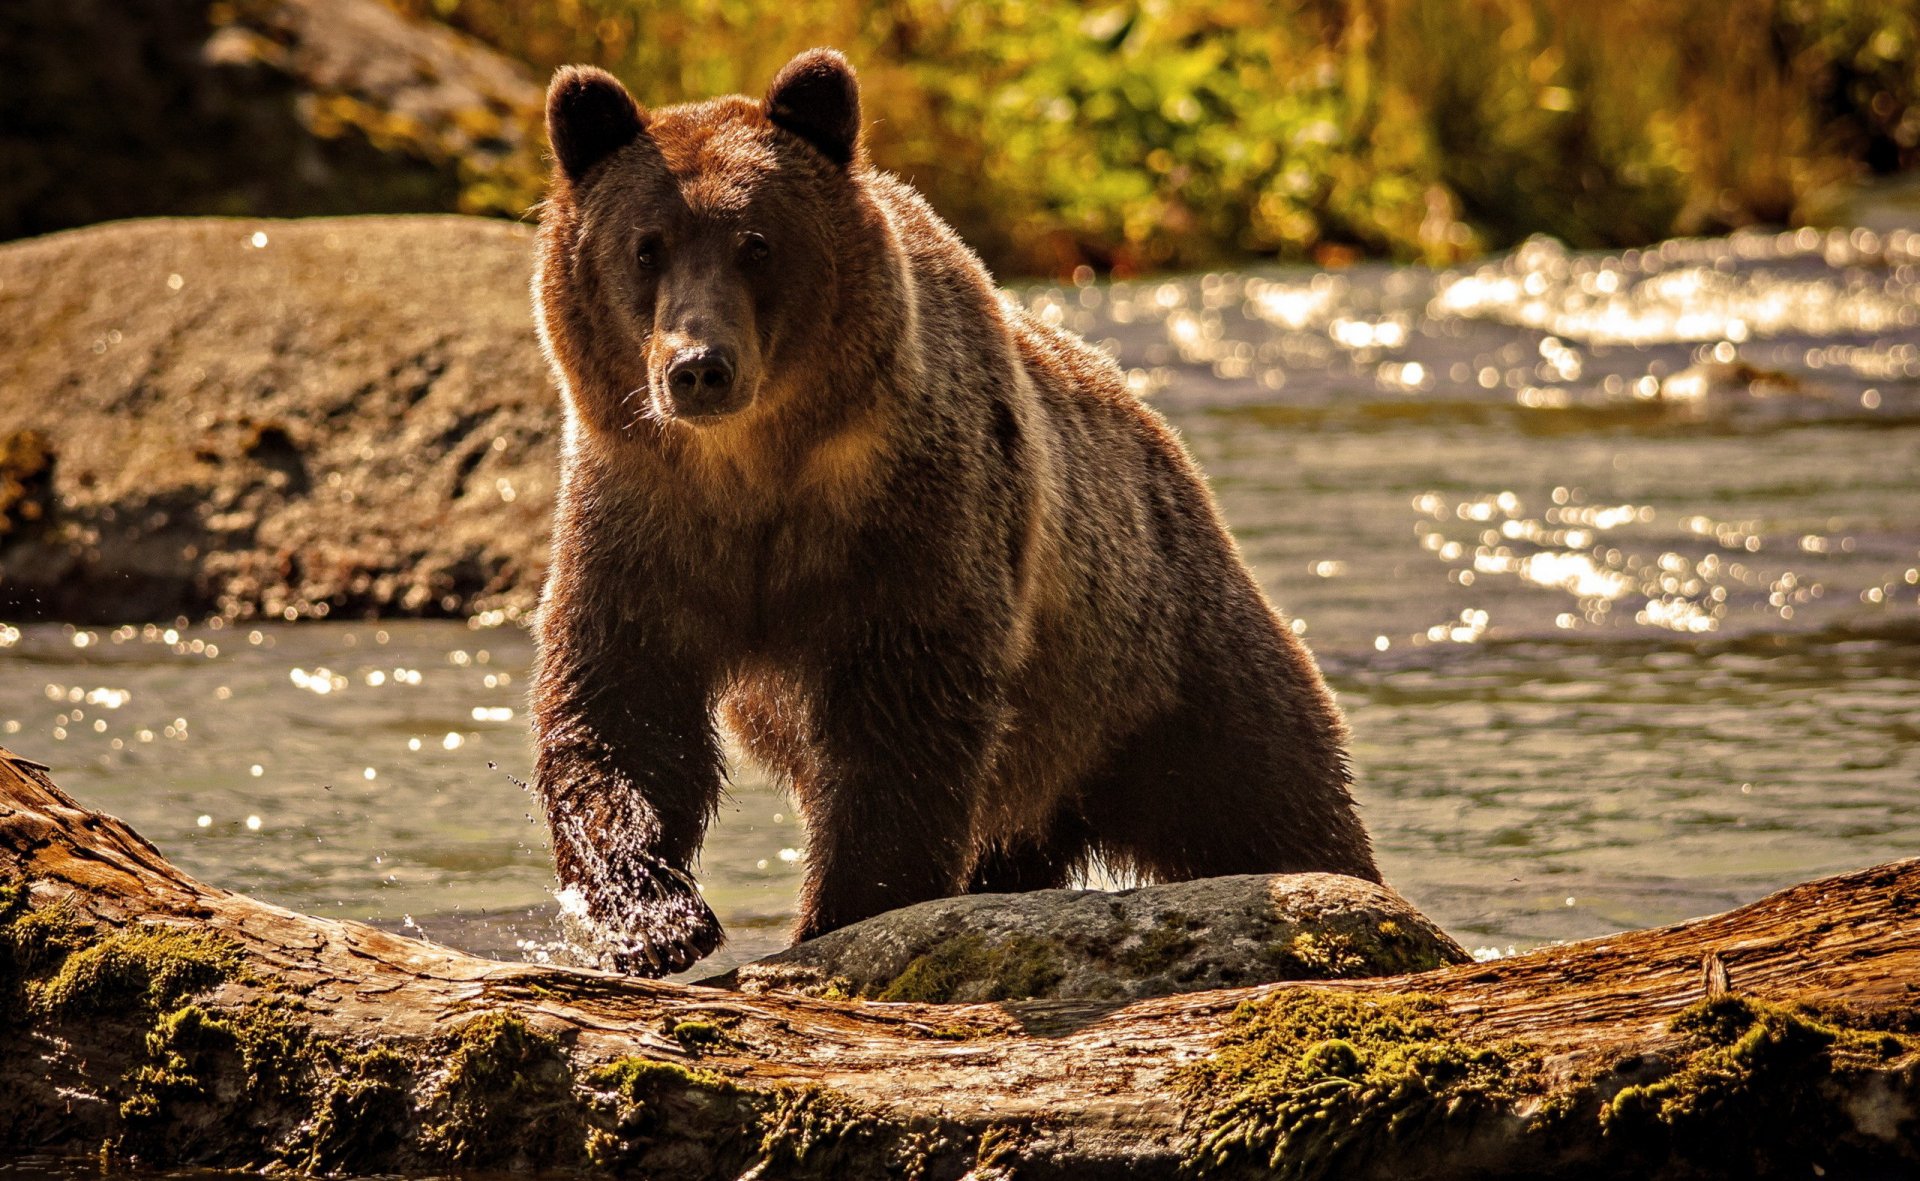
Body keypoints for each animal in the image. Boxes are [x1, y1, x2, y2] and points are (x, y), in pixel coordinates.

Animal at [528, 48, 1381, 976]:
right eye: (645, 246)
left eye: (756, 243)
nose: (698, 367)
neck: (755, 469)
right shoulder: (643, 515)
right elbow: (622, 704)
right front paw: (651, 916)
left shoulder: (912, 517)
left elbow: (902, 724)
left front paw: (838, 912)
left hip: (1161, 657)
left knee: (1268, 793)